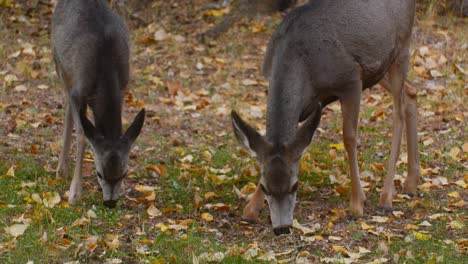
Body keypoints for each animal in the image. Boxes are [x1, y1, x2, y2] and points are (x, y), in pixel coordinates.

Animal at [51, 0, 144, 208]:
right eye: (99, 173)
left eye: (124, 173)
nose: (110, 203)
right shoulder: (78, 92)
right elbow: (82, 136)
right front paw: (74, 193)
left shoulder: (123, 86)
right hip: (59, 64)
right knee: (67, 104)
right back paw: (61, 169)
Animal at [232, 0, 418, 235]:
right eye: (265, 187)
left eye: (295, 185)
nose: (282, 228)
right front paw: (250, 210)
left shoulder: (350, 79)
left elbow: (349, 138)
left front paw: (357, 203)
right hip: (379, 70)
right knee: (412, 93)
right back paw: (412, 183)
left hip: (402, 48)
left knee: (398, 113)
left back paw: (386, 197)